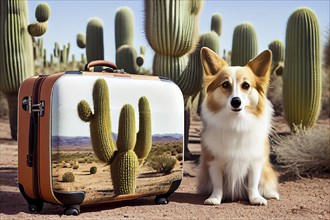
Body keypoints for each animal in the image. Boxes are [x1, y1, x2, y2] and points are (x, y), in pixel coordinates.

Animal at [197, 47, 280, 205]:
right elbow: (218, 184)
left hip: (267, 171)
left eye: (246, 85)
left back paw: (271, 194)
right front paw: (214, 198)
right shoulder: (213, 161)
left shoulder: (255, 162)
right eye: (225, 85)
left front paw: (256, 198)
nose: (236, 101)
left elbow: (253, 183)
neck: (236, 122)